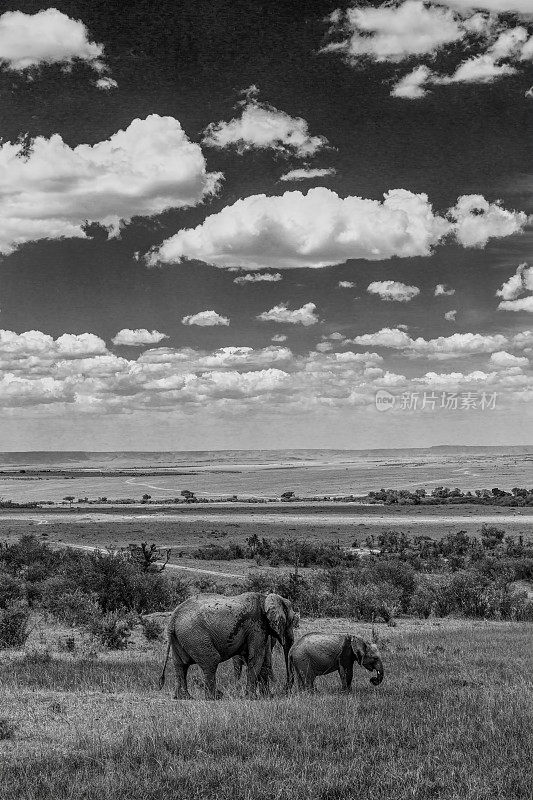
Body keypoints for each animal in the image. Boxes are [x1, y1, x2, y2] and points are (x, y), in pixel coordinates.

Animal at [158, 592, 300, 696]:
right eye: (292, 621)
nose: (284, 691)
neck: (265, 598)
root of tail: (173, 618)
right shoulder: (256, 626)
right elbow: (256, 657)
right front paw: (251, 697)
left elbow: (263, 660)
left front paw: (266, 697)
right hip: (195, 635)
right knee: (211, 661)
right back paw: (215, 697)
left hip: (180, 637)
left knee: (180, 665)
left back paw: (184, 697)